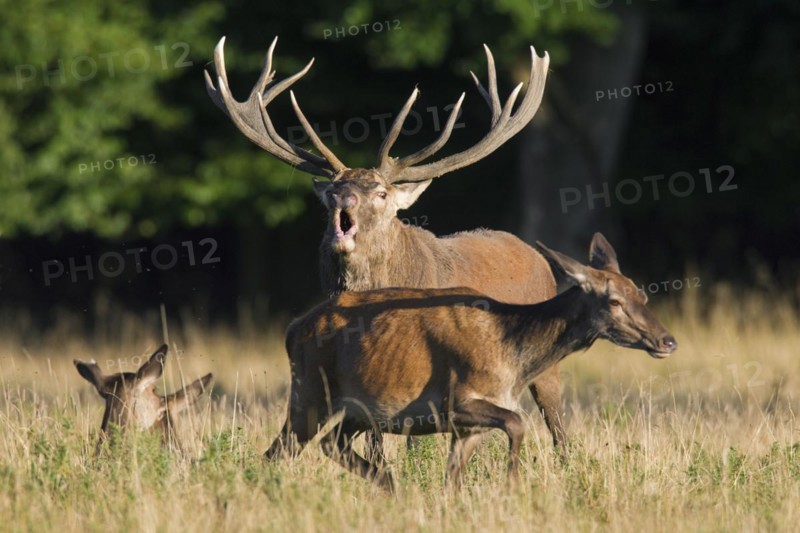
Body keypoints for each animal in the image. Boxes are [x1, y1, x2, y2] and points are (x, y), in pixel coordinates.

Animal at [204, 37, 567, 456]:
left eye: (380, 192)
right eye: (331, 191)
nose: (344, 199)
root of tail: (535, 254)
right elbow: (376, 436)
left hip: (546, 362)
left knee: (557, 421)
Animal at [263, 233, 677, 491]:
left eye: (642, 294)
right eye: (613, 301)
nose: (667, 340)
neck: (513, 358)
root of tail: (292, 330)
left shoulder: (468, 428)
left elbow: (453, 483)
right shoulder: (456, 400)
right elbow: (518, 423)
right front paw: (512, 485)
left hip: (355, 410)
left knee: (330, 444)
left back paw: (389, 485)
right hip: (309, 394)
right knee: (276, 452)